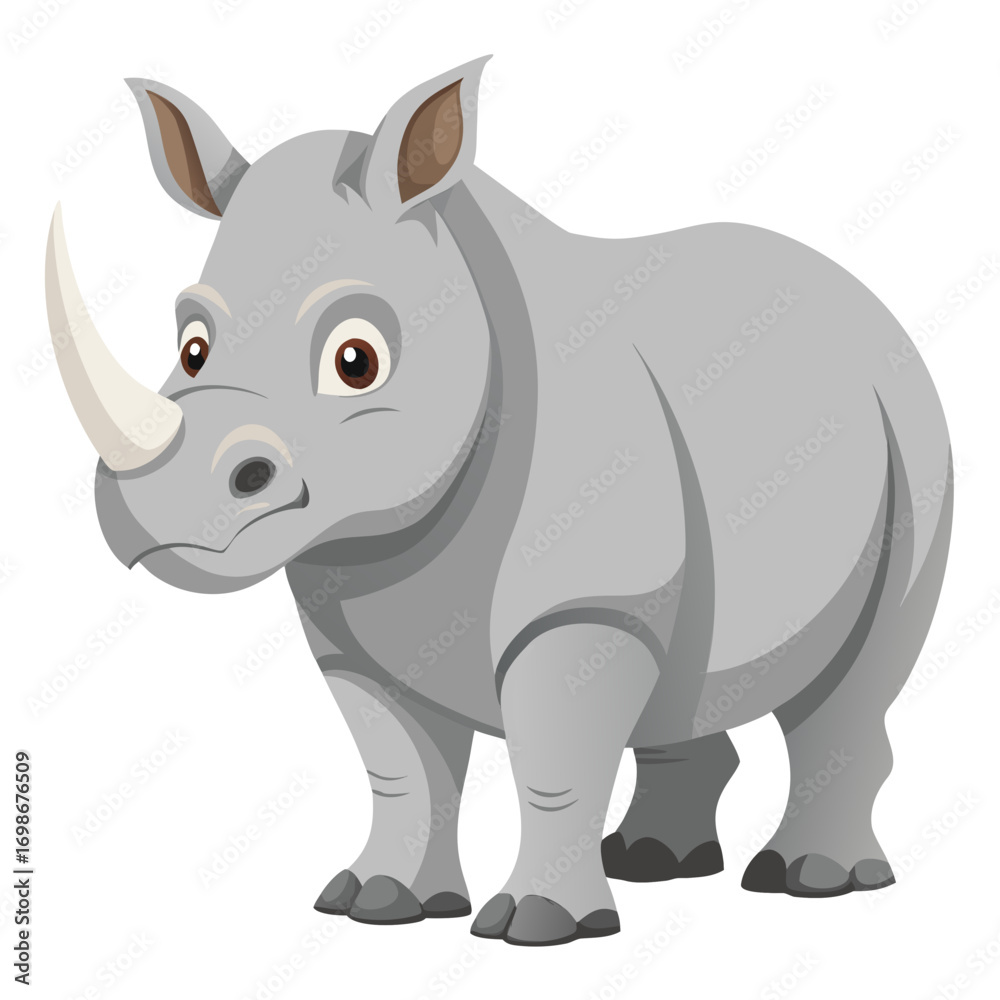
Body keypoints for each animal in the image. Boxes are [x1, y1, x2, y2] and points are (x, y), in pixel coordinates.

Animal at [46, 56, 952, 946]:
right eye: (191, 347)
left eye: (356, 361)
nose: (158, 511)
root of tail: (867, 303)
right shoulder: (350, 625)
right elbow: (399, 769)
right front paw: (377, 902)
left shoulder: (588, 605)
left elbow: (553, 765)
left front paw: (541, 926)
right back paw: (654, 860)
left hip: (913, 433)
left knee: (856, 682)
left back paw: (811, 879)